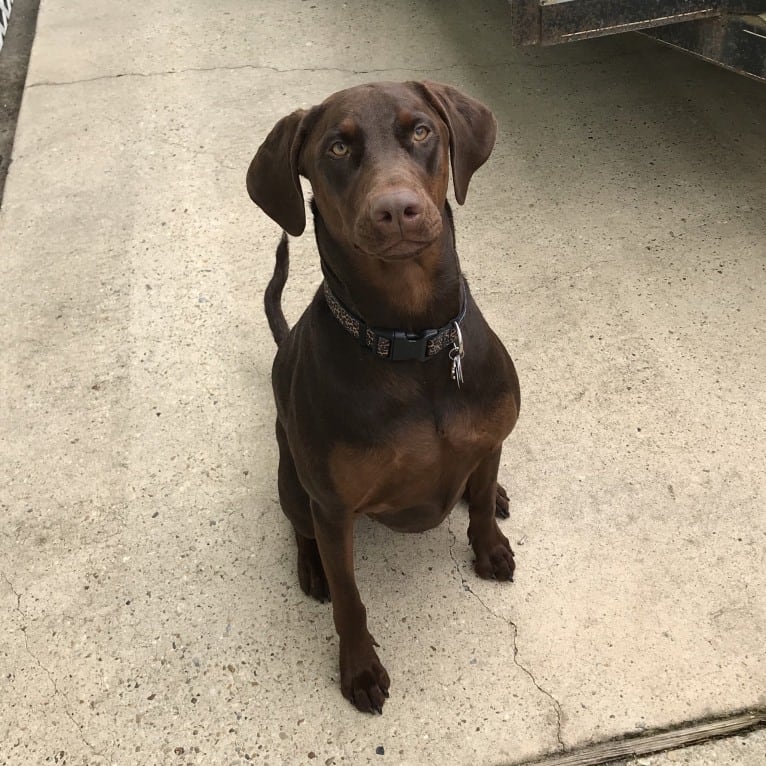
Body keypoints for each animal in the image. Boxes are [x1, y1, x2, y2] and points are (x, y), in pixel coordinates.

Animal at [246, 82, 520, 712]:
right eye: (337, 147)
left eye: (420, 130)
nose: (396, 209)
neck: (411, 344)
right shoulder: (333, 506)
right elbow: (350, 597)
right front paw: (360, 667)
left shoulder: (492, 435)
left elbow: (481, 491)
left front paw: (489, 543)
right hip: (293, 480)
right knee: (300, 526)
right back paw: (311, 568)